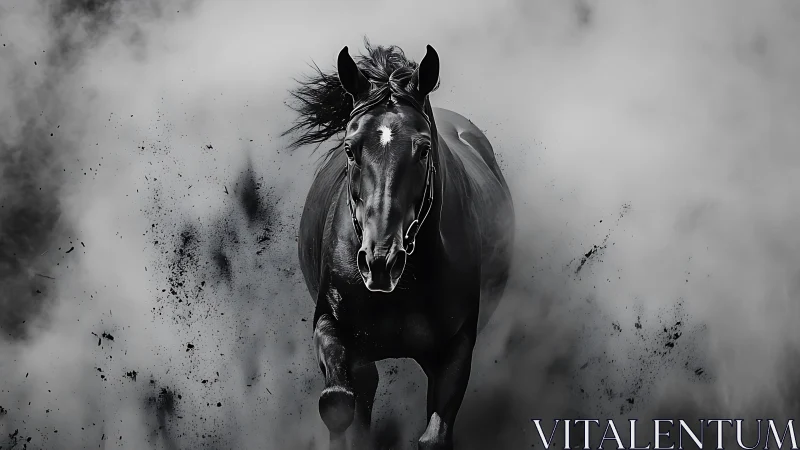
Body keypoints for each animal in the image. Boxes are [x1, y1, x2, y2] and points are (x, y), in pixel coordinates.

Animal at [284, 40, 515, 450]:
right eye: (349, 148)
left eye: (423, 150)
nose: (380, 262)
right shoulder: (331, 324)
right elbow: (338, 403)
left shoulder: (456, 347)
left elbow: (434, 436)